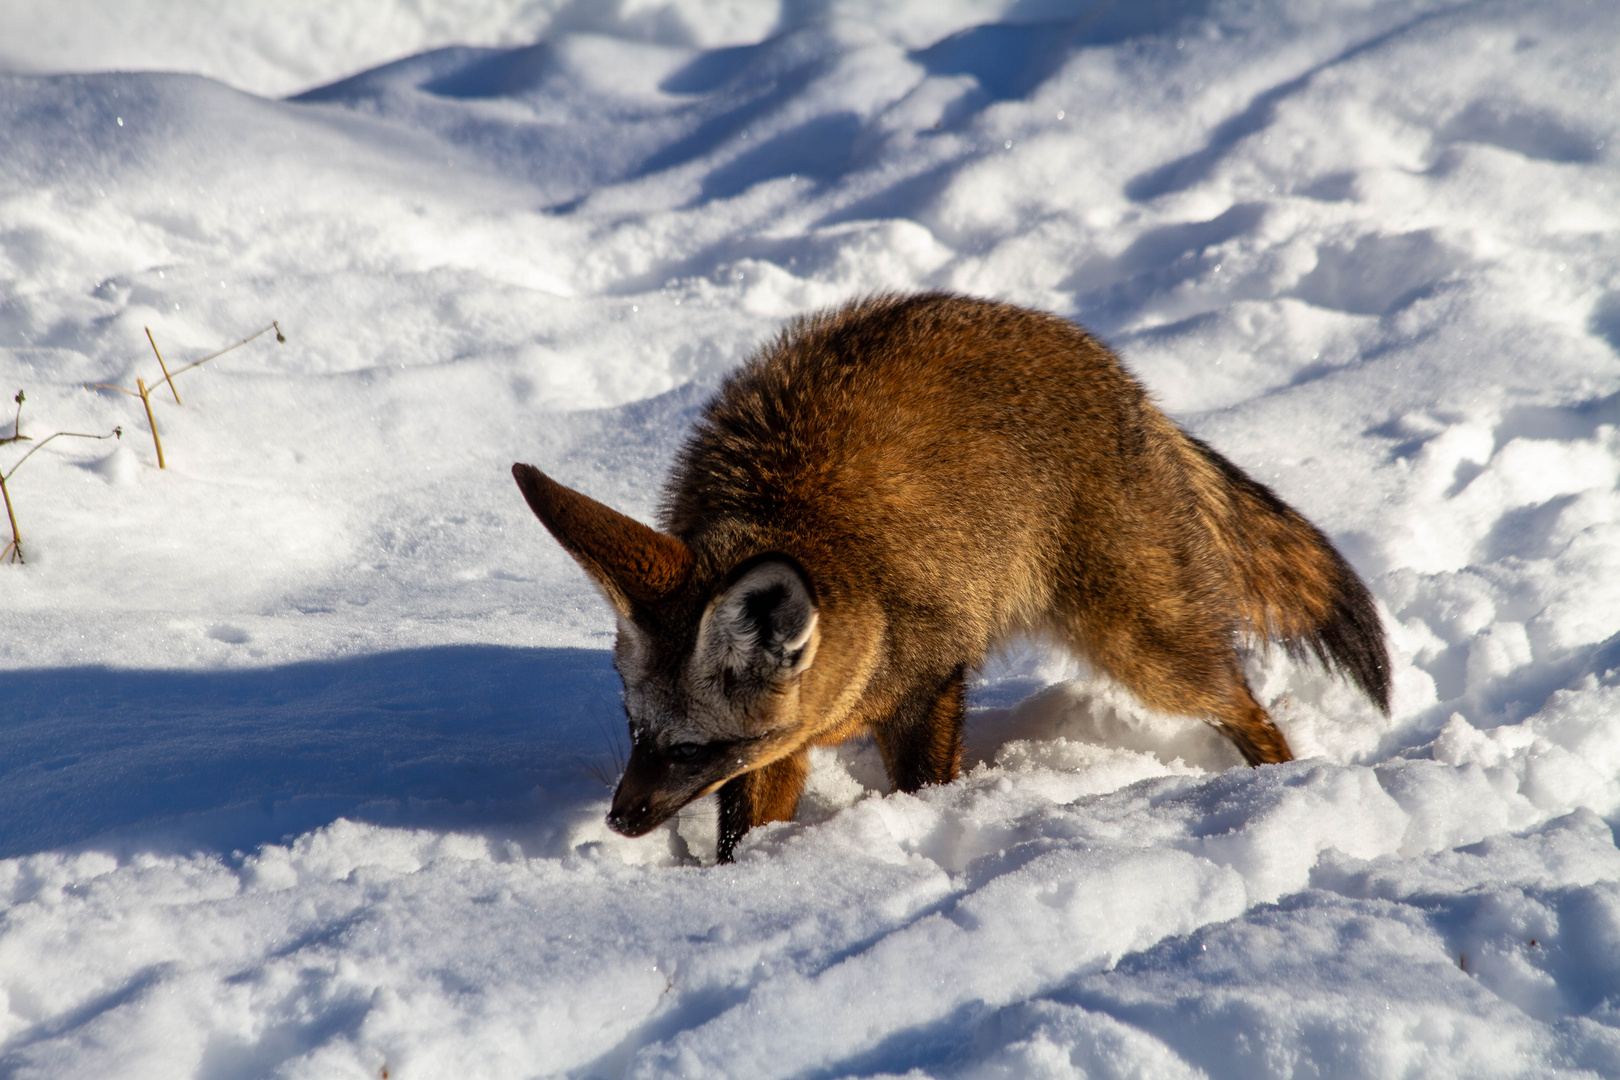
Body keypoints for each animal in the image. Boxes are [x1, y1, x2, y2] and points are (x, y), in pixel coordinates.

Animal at [518, 291, 1393, 867]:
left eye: (692, 747)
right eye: (636, 730)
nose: (621, 820)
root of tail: (1121, 376)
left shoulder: (930, 681)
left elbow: (921, 788)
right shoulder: (775, 749)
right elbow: (747, 831)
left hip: (1149, 652)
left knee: (1247, 705)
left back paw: (1283, 786)